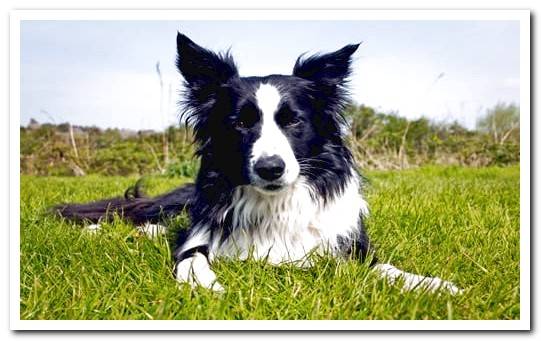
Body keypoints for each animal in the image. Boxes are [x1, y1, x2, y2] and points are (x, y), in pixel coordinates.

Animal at [54, 31, 460, 292]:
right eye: (240, 123)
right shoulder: (200, 237)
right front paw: (205, 284)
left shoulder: (349, 246)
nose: (270, 168)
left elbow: (386, 268)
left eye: (293, 121)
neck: (275, 203)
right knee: (136, 212)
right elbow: (190, 257)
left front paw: (431, 284)